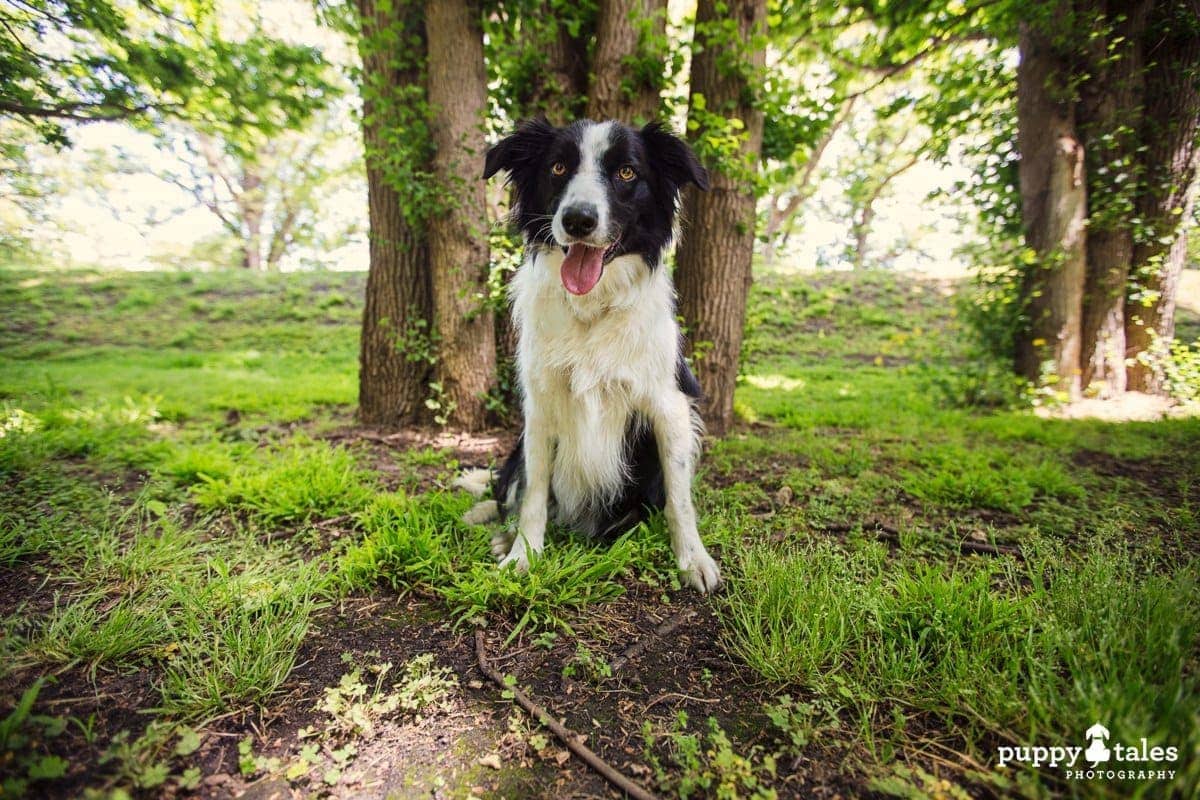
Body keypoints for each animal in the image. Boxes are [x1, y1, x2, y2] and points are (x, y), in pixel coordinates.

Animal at [463, 118, 715, 594]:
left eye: (627, 172)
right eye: (558, 167)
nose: (578, 220)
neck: (592, 310)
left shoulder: (669, 406)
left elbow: (679, 499)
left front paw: (693, 560)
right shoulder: (540, 408)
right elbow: (533, 493)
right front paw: (523, 556)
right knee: (507, 489)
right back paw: (494, 526)